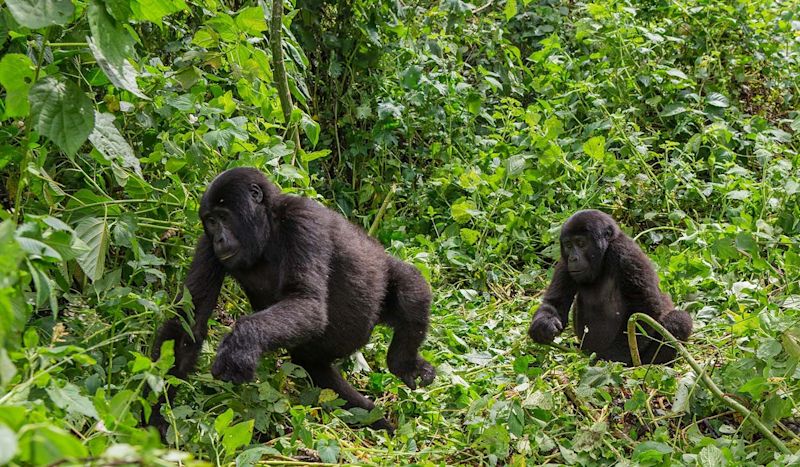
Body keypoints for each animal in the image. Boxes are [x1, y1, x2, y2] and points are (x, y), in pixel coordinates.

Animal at [150, 168, 438, 436]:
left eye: (223, 217)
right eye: (210, 222)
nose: (219, 238)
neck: (268, 226)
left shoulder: (302, 220)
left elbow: (306, 300)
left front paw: (241, 343)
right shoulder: (207, 245)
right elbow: (188, 323)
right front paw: (155, 415)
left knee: (411, 287)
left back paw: (404, 364)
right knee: (316, 370)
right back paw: (372, 418)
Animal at [528, 210, 692, 368]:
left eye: (581, 243)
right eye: (568, 245)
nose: (573, 258)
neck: (604, 255)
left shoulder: (625, 254)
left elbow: (644, 308)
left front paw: (614, 358)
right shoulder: (564, 261)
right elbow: (555, 302)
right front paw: (543, 326)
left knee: (678, 321)